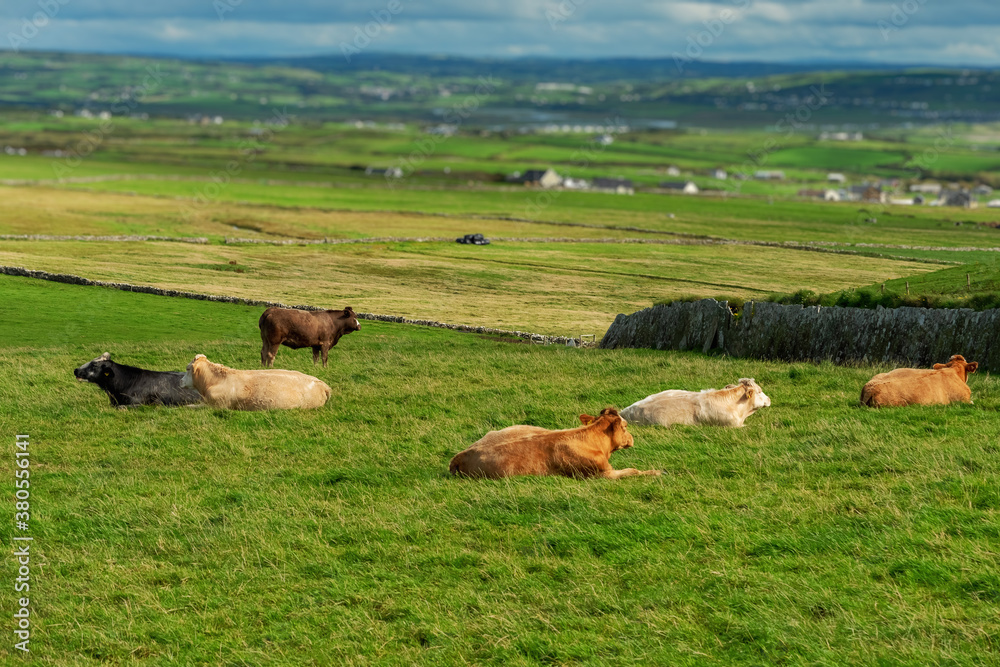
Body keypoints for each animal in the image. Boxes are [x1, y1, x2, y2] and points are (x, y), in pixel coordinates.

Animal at [449, 407, 661, 480]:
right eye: (625, 426)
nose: (632, 438)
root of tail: (460, 455)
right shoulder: (600, 474)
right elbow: (632, 471)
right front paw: (657, 471)